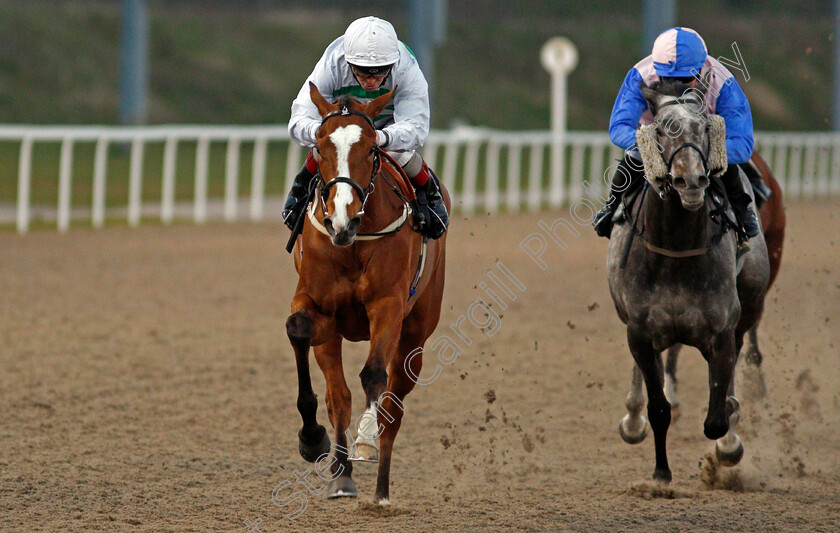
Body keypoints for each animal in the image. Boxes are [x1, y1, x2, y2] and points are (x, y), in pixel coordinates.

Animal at [288, 82, 450, 502]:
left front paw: (365, 439)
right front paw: (313, 441)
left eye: (372, 150)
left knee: (394, 404)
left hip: (416, 332)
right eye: (320, 147)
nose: (341, 220)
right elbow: (300, 332)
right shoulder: (318, 306)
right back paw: (342, 471)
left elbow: (375, 374)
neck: (354, 242)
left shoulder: (388, 306)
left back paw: (380, 488)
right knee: (339, 396)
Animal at [608, 79, 772, 482]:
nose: (691, 180)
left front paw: (727, 446)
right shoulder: (640, 331)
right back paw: (632, 419)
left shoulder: (722, 331)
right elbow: (659, 408)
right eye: (662, 130)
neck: (675, 250)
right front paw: (660, 475)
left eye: (705, 128)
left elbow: (717, 416)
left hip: (750, 300)